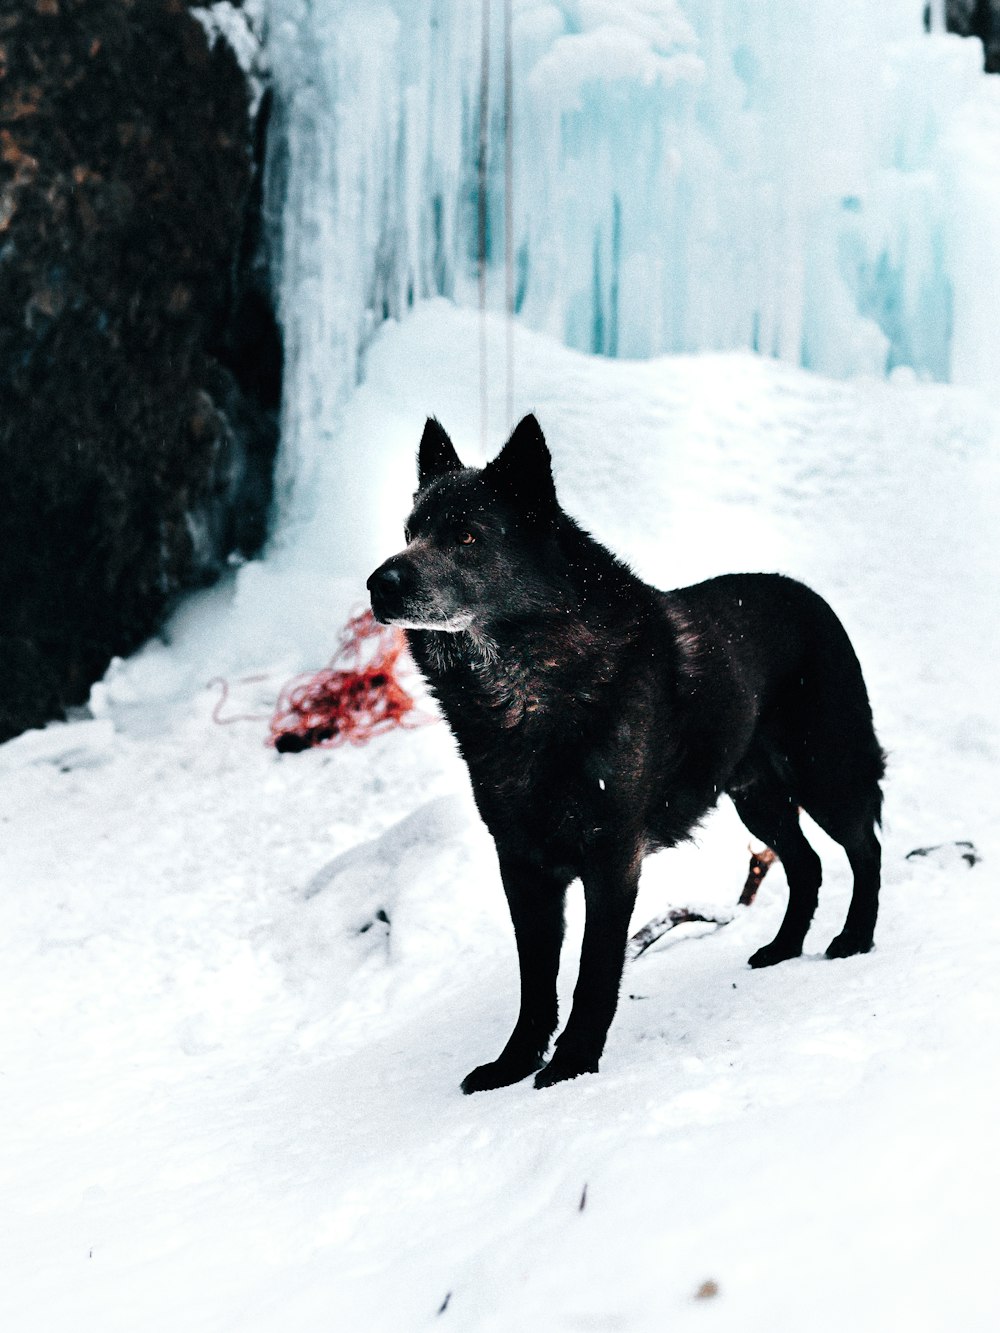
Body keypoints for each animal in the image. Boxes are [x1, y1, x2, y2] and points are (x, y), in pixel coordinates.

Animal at [370, 415, 885, 1093]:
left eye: (466, 536)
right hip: (758, 799)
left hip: (828, 776)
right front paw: (514, 1063)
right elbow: (535, 981)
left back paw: (855, 939)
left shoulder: (612, 858)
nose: (378, 584)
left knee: (864, 849)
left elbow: (593, 974)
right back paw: (782, 948)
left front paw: (573, 1063)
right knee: (808, 864)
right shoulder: (523, 865)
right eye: (410, 533)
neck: (526, 685)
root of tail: (809, 597)